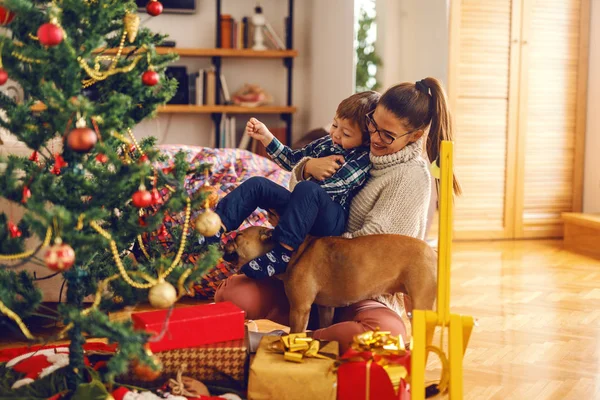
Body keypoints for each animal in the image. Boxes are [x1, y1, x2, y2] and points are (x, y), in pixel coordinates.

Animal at [223, 227, 438, 332]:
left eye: (238, 236)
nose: (225, 240)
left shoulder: (299, 309)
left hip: (421, 302)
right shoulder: (325, 308)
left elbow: (295, 332)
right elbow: (325, 325)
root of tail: (432, 252)